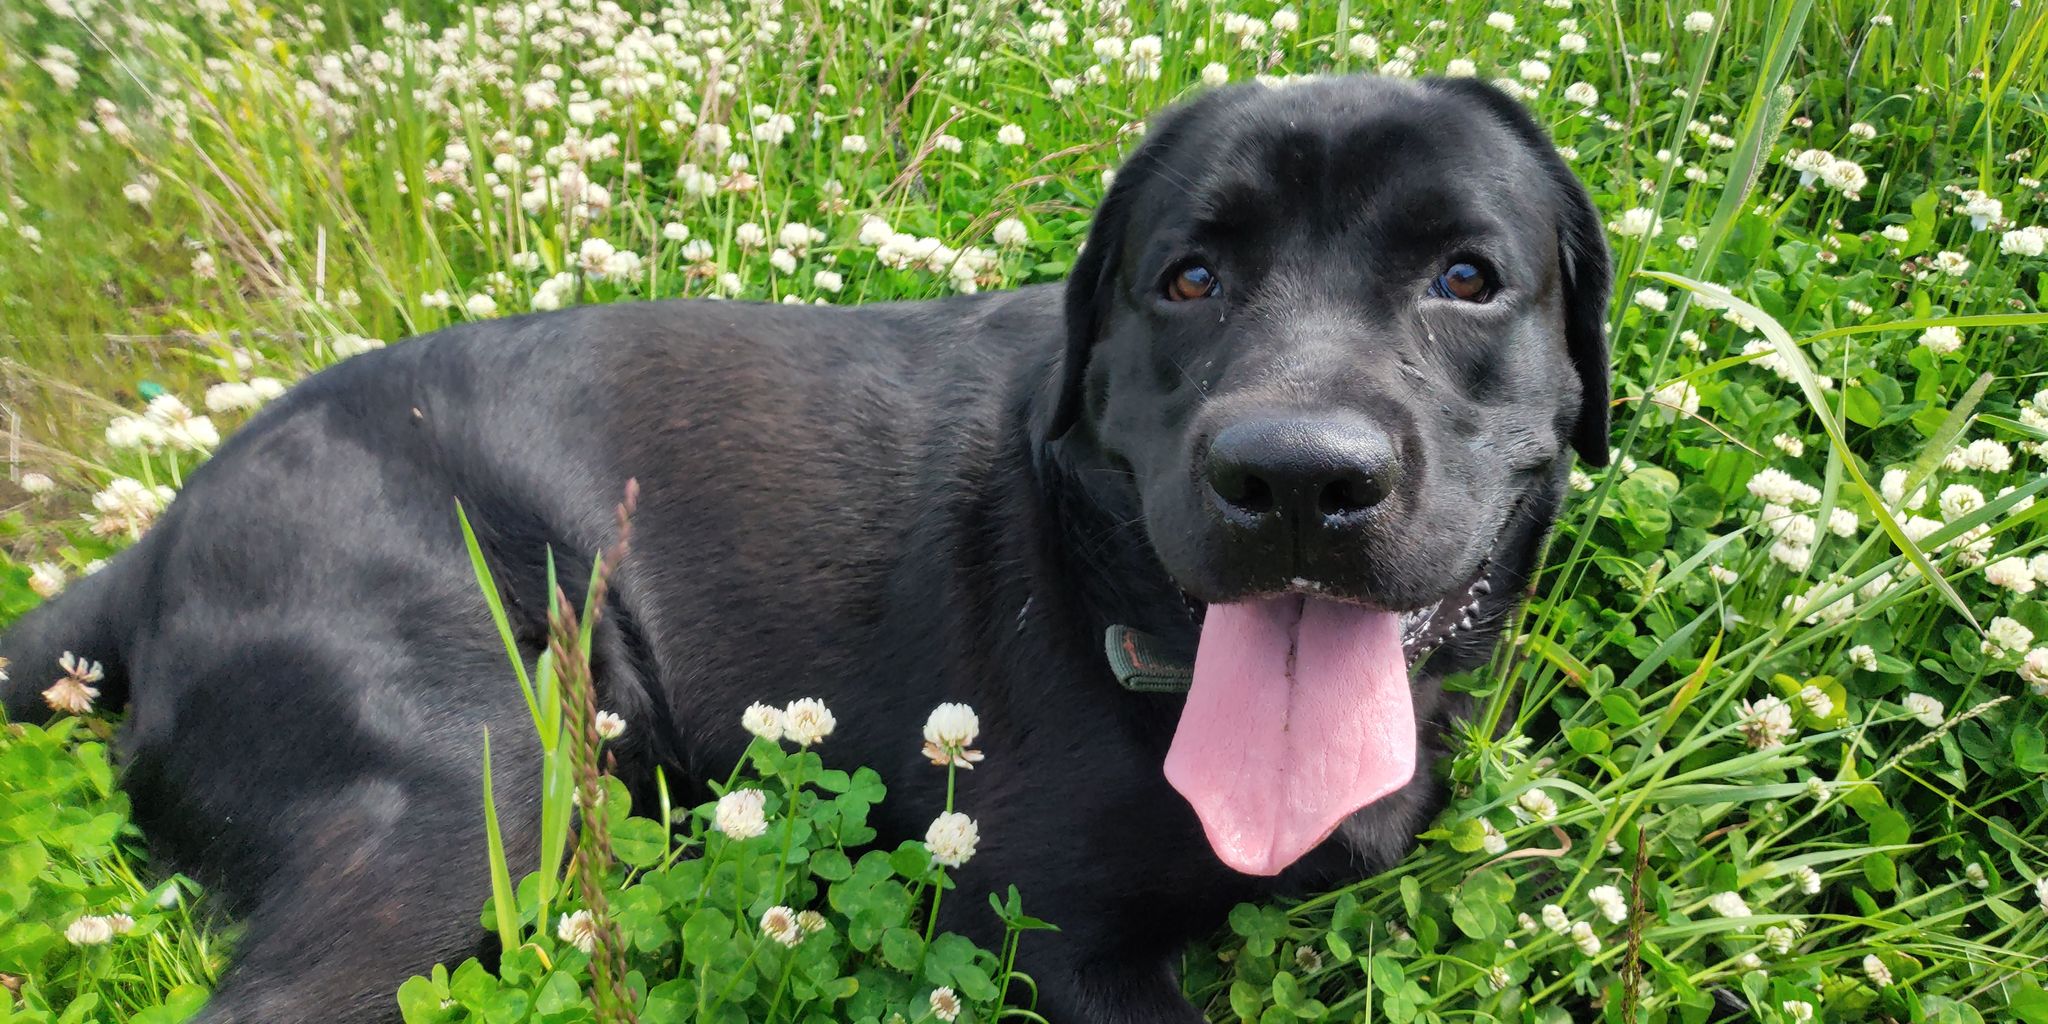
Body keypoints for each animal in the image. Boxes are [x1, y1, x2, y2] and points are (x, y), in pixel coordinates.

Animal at [0, 75, 1605, 1019]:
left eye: (1469, 278)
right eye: (1188, 279)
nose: (1293, 480)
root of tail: (156, 542)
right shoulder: (1048, 927)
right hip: (480, 779)